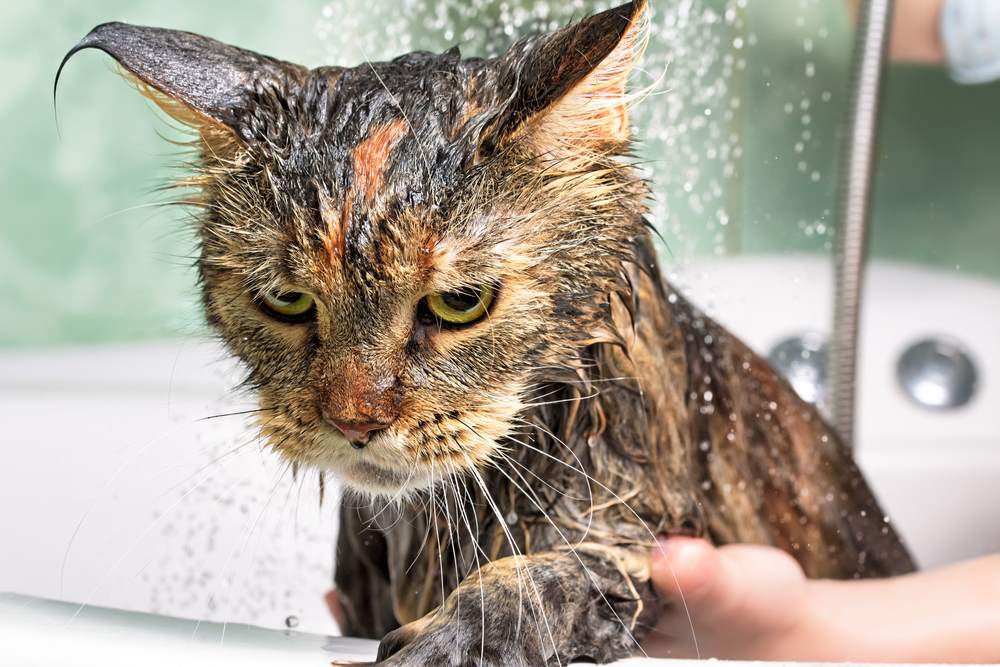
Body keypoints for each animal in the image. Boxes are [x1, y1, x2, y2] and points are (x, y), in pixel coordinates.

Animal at [56, 2, 916, 664]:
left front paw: (457, 635)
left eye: (461, 302)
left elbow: (543, 580)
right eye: (288, 301)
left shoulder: (632, 530)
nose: (355, 421)